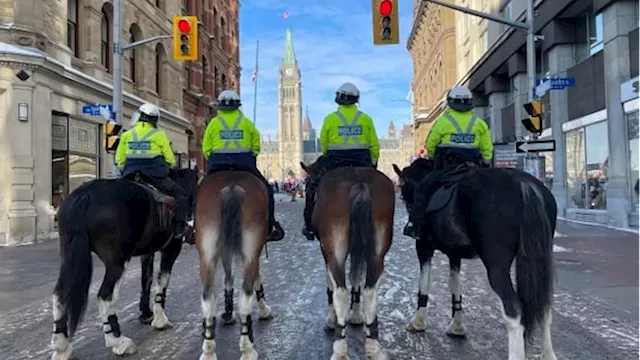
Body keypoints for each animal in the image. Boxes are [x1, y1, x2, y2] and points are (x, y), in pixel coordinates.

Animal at [50, 169, 198, 360]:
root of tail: (85, 196)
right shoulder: (172, 249)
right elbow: (162, 281)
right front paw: (160, 320)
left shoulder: (148, 252)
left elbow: (146, 279)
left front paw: (146, 313)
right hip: (117, 262)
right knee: (105, 296)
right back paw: (118, 342)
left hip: (69, 257)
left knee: (60, 296)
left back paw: (62, 347)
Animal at [195, 169, 276, 360]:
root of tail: (231, 185)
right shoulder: (254, 253)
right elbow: (257, 279)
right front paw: (264, 309)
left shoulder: (224, 249)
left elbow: (228, 275)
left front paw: (227, 311)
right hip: (251, 251)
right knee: (246, 296)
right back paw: (247, 347)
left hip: (207, 254)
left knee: (207, 298)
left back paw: (208, 348)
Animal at [300, 161, 396, 360]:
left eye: (308, 186)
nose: (306, 219)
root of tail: (359, 182)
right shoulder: (358, 248)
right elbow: (355, 277)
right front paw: (357, 316)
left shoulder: (325, 250)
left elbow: (331, 285)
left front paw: (332, 320)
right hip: (377, 254)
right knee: (371, 292)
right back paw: (373, 346)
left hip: (335, 251)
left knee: (340, 292)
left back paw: (339, 348)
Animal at [392, 160, 556, 360]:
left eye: (402, 184)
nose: (404, 200)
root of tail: (525, 184)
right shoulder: (454, 253)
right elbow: (455, 285)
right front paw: (457, 326)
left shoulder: (423, 247)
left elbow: (425, 282)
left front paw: (418, 321)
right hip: (538, 261)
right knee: (544, 307)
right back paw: (548, 354)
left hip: (496, 266)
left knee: (513, 311)